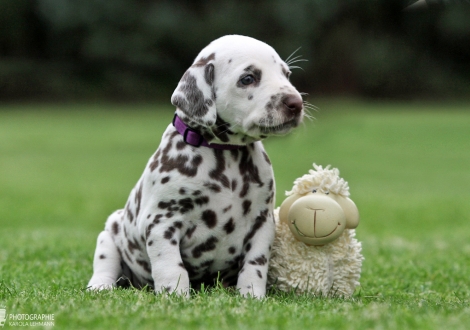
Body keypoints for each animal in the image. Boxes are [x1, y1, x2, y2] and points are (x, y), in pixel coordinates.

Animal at [86, 34, 302, 298]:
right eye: (248, 78)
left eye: (286, 74)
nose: (296, 103)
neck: (226, 154)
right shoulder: (161, 222)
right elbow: (170, 266)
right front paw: (175, 295)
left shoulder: (262, 222)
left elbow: (255, 264)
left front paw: (251, 295)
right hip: (109, 235)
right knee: (104, 264)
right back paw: (100, 286)